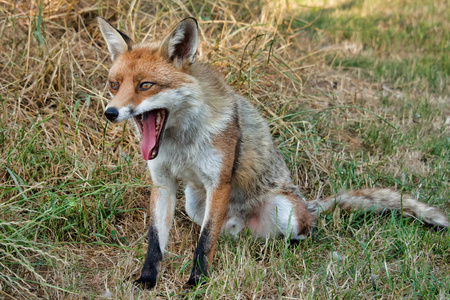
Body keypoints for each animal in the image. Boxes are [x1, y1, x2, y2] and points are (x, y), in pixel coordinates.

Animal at [96, 17, 448, 290]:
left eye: (145, 85)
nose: (110, 113)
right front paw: (147, 279)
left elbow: (205, 242)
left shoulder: (218, 182)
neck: (180, 143)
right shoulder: (163, 181)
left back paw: (292, 243)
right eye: (114, 84)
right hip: (195, 204)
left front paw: (197, 281)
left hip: (284, 210)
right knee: (230, 233)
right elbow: (156, 240)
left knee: (302, 229)